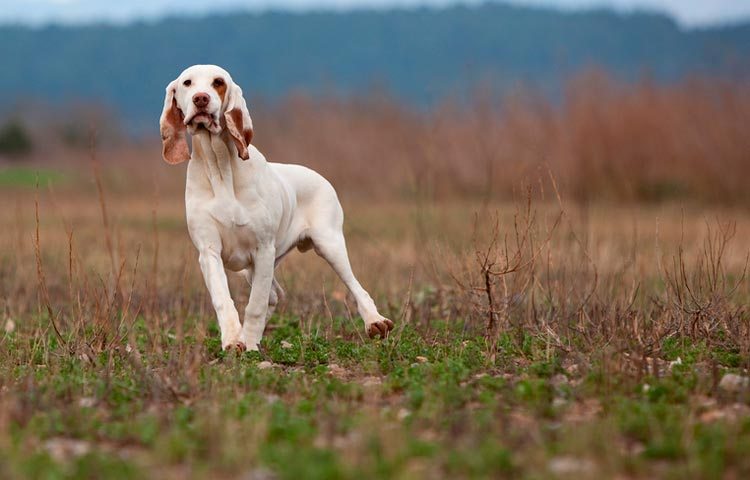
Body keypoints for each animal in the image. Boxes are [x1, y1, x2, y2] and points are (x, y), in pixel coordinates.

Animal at [158, 63, 394, 350]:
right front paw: (234, 339)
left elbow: (255, 305)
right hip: (255, 268)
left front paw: (248, 345)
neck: (221, 165)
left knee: (354, 285)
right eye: (187, 83)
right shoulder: (209, 251)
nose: (200, 99)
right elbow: (224, 300)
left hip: (329, 245)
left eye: (218, 82)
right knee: (275, 294)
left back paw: (375, 321)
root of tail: (320, 177)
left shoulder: (263, 250)